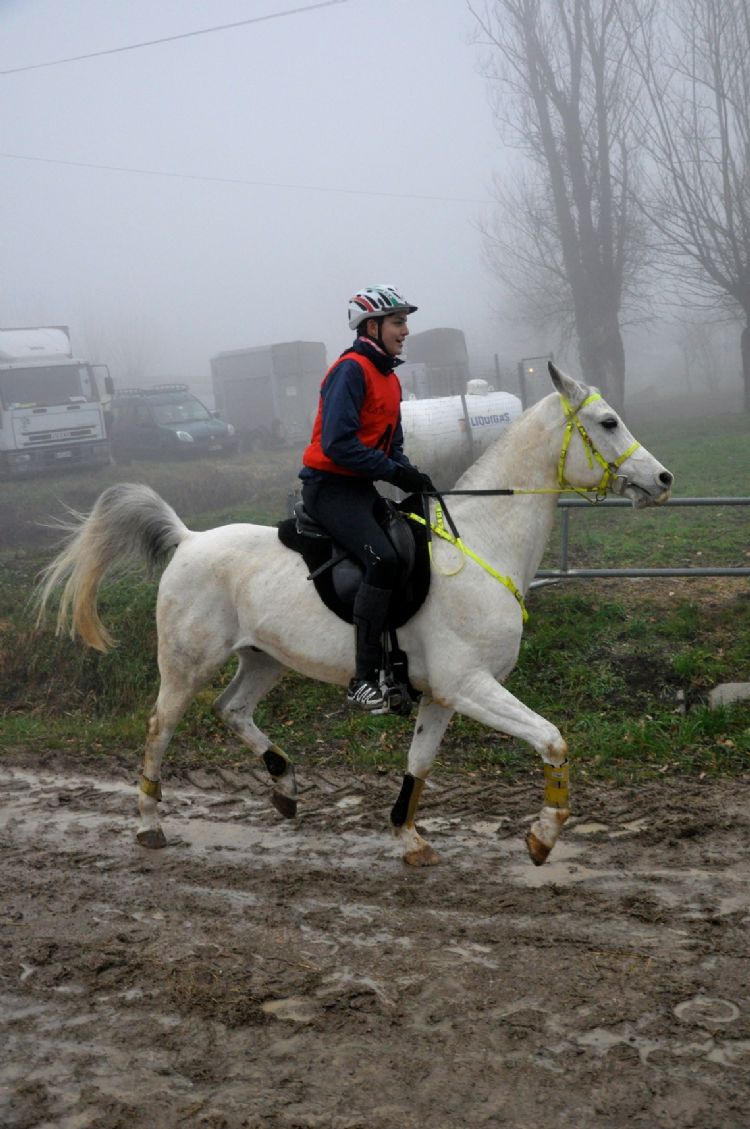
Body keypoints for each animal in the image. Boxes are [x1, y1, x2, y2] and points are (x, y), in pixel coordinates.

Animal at [38, 361, 673, 862]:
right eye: (609, 422)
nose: (663, 479)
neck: (483, 542)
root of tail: (188, 539)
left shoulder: (444, 694)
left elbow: (420, 764)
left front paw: (409, 838)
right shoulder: (470, 684)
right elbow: (551, 740)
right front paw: (543, 836)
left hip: (264, 657)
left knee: (231, 708)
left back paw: (285, 784)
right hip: (186, 665)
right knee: (160, 729)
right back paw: (150, 825)